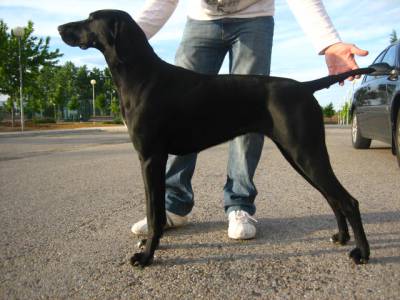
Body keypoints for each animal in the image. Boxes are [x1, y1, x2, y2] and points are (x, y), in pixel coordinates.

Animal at [58, 9, 372, 268]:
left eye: (90, 18)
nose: (60, 28)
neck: (141, 76)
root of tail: (306, 86)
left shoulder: (150, 158)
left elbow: (153, 212)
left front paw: (146, 255)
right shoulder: (154, 159)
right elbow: (155, 211)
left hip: (305, 152)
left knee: (348, 201)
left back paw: (363, 252)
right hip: (298, 155)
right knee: (332, 198)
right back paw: (341, 237)